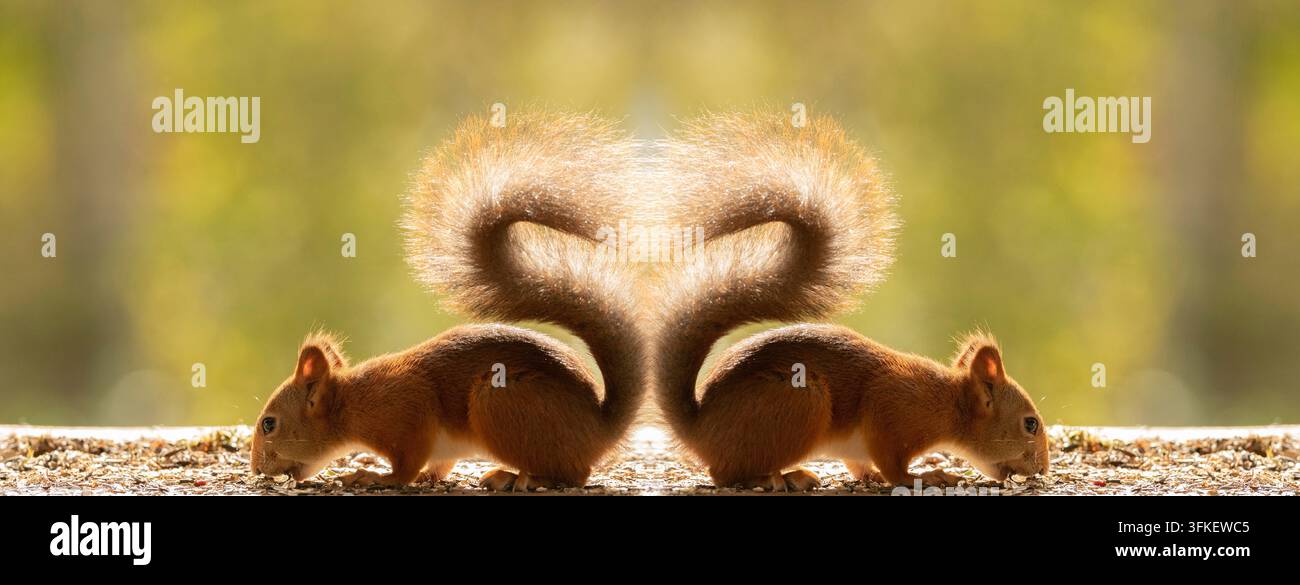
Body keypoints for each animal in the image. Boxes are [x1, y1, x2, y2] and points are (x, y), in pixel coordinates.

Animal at [250, 110, 648, 491]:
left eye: (269, 424)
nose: (255, 468)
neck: (352, 401)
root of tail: (600, 428)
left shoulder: (407, 414)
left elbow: (406, 465)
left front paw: (374, 476)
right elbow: (438, 464)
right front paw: (429, 477)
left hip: (498, 400)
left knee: (574, 473)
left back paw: (518, 477)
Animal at [652, 110, 1050, 491]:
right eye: (1030, 424)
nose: (1044, 468)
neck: (947, 401)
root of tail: (700, 428)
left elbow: (861, 463)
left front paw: (869, 476)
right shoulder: (891, 413)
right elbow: (894, 466)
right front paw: (928, 477)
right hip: (801, 401)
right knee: (724, 473)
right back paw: (780, 477)